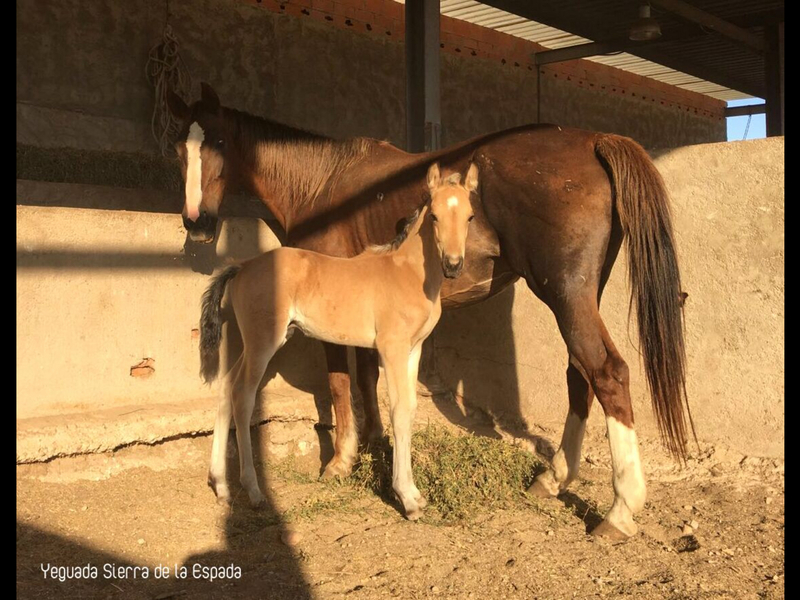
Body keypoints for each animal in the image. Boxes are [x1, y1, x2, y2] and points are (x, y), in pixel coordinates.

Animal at [199, 162, 478, 519]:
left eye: (470, 216)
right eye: (435, 216)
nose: (453, 266)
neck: (409, 274)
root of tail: (242, 266)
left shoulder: (413, 350)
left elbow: (411, 409)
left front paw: (414, 494)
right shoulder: (392, 349)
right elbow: (398, 410)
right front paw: (408, 498)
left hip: (254, 344)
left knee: (225, 387)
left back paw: (221, 485)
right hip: (263, 343)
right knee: (242, 396)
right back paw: (253, 489)